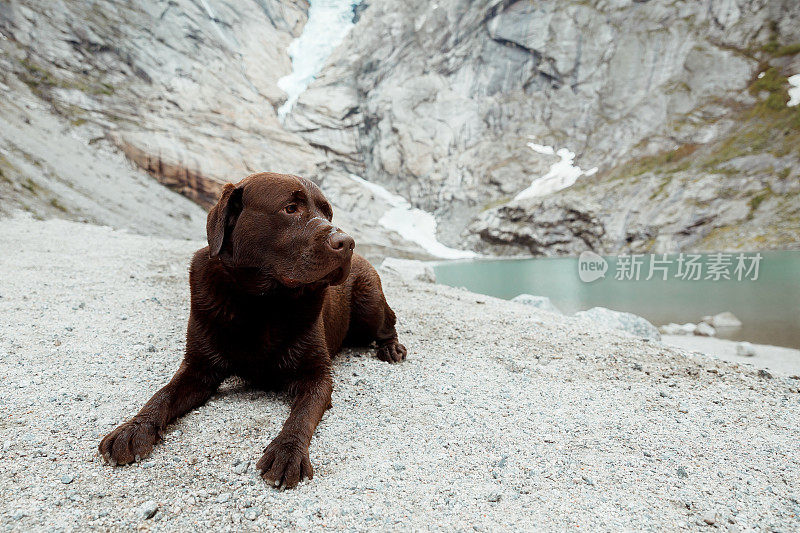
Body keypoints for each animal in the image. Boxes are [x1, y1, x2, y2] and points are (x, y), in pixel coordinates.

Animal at [98, 170, 406, 486]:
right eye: (290, 208)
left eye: (327, 213)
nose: (348, 243)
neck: (262, 302)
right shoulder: (198, 367)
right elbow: (163, 394)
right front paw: (134, 428)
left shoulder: (317, 376)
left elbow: (301, 416)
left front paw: (288, 451)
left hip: (368, 305)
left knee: (388, 322)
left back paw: (391, 348)